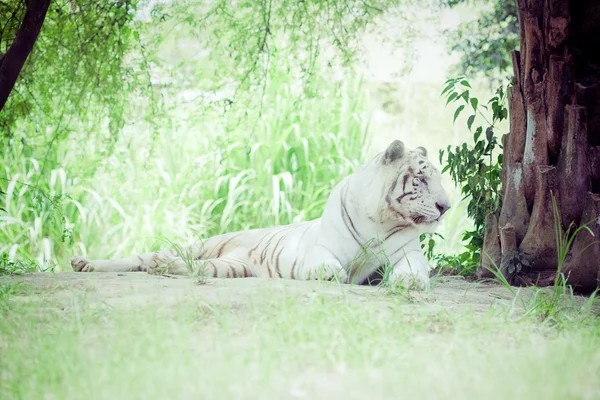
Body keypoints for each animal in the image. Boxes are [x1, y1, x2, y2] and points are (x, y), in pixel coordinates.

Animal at [70, 141, 450, 290]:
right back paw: (85, 263)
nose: (446, 207)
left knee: (190, 269)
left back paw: (162, 268)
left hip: (229, 267)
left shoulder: (407, 252)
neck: (381, 219)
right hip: (197, 246)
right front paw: (329, 273)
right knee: (138, 257)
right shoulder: (321, 245)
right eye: (421, 178)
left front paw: (410, 281)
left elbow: (414, 267)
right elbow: (324, 260)